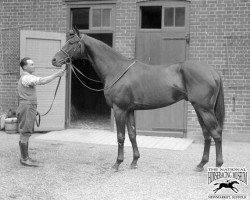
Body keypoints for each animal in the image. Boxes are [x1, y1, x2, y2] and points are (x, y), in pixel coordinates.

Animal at [51, 27, 226, 172]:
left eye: (72, 43)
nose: (54, 60)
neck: (116, 69)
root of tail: (213, 72)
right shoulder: (129, 110)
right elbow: (132, 134)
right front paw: (134, 161)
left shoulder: (119, 109)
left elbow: (120, 136)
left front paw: (117, 163)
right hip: (199, 109)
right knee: (207, 134)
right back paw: (201, 164)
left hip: (204, 109)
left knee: (216, 133)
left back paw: (218, 166)